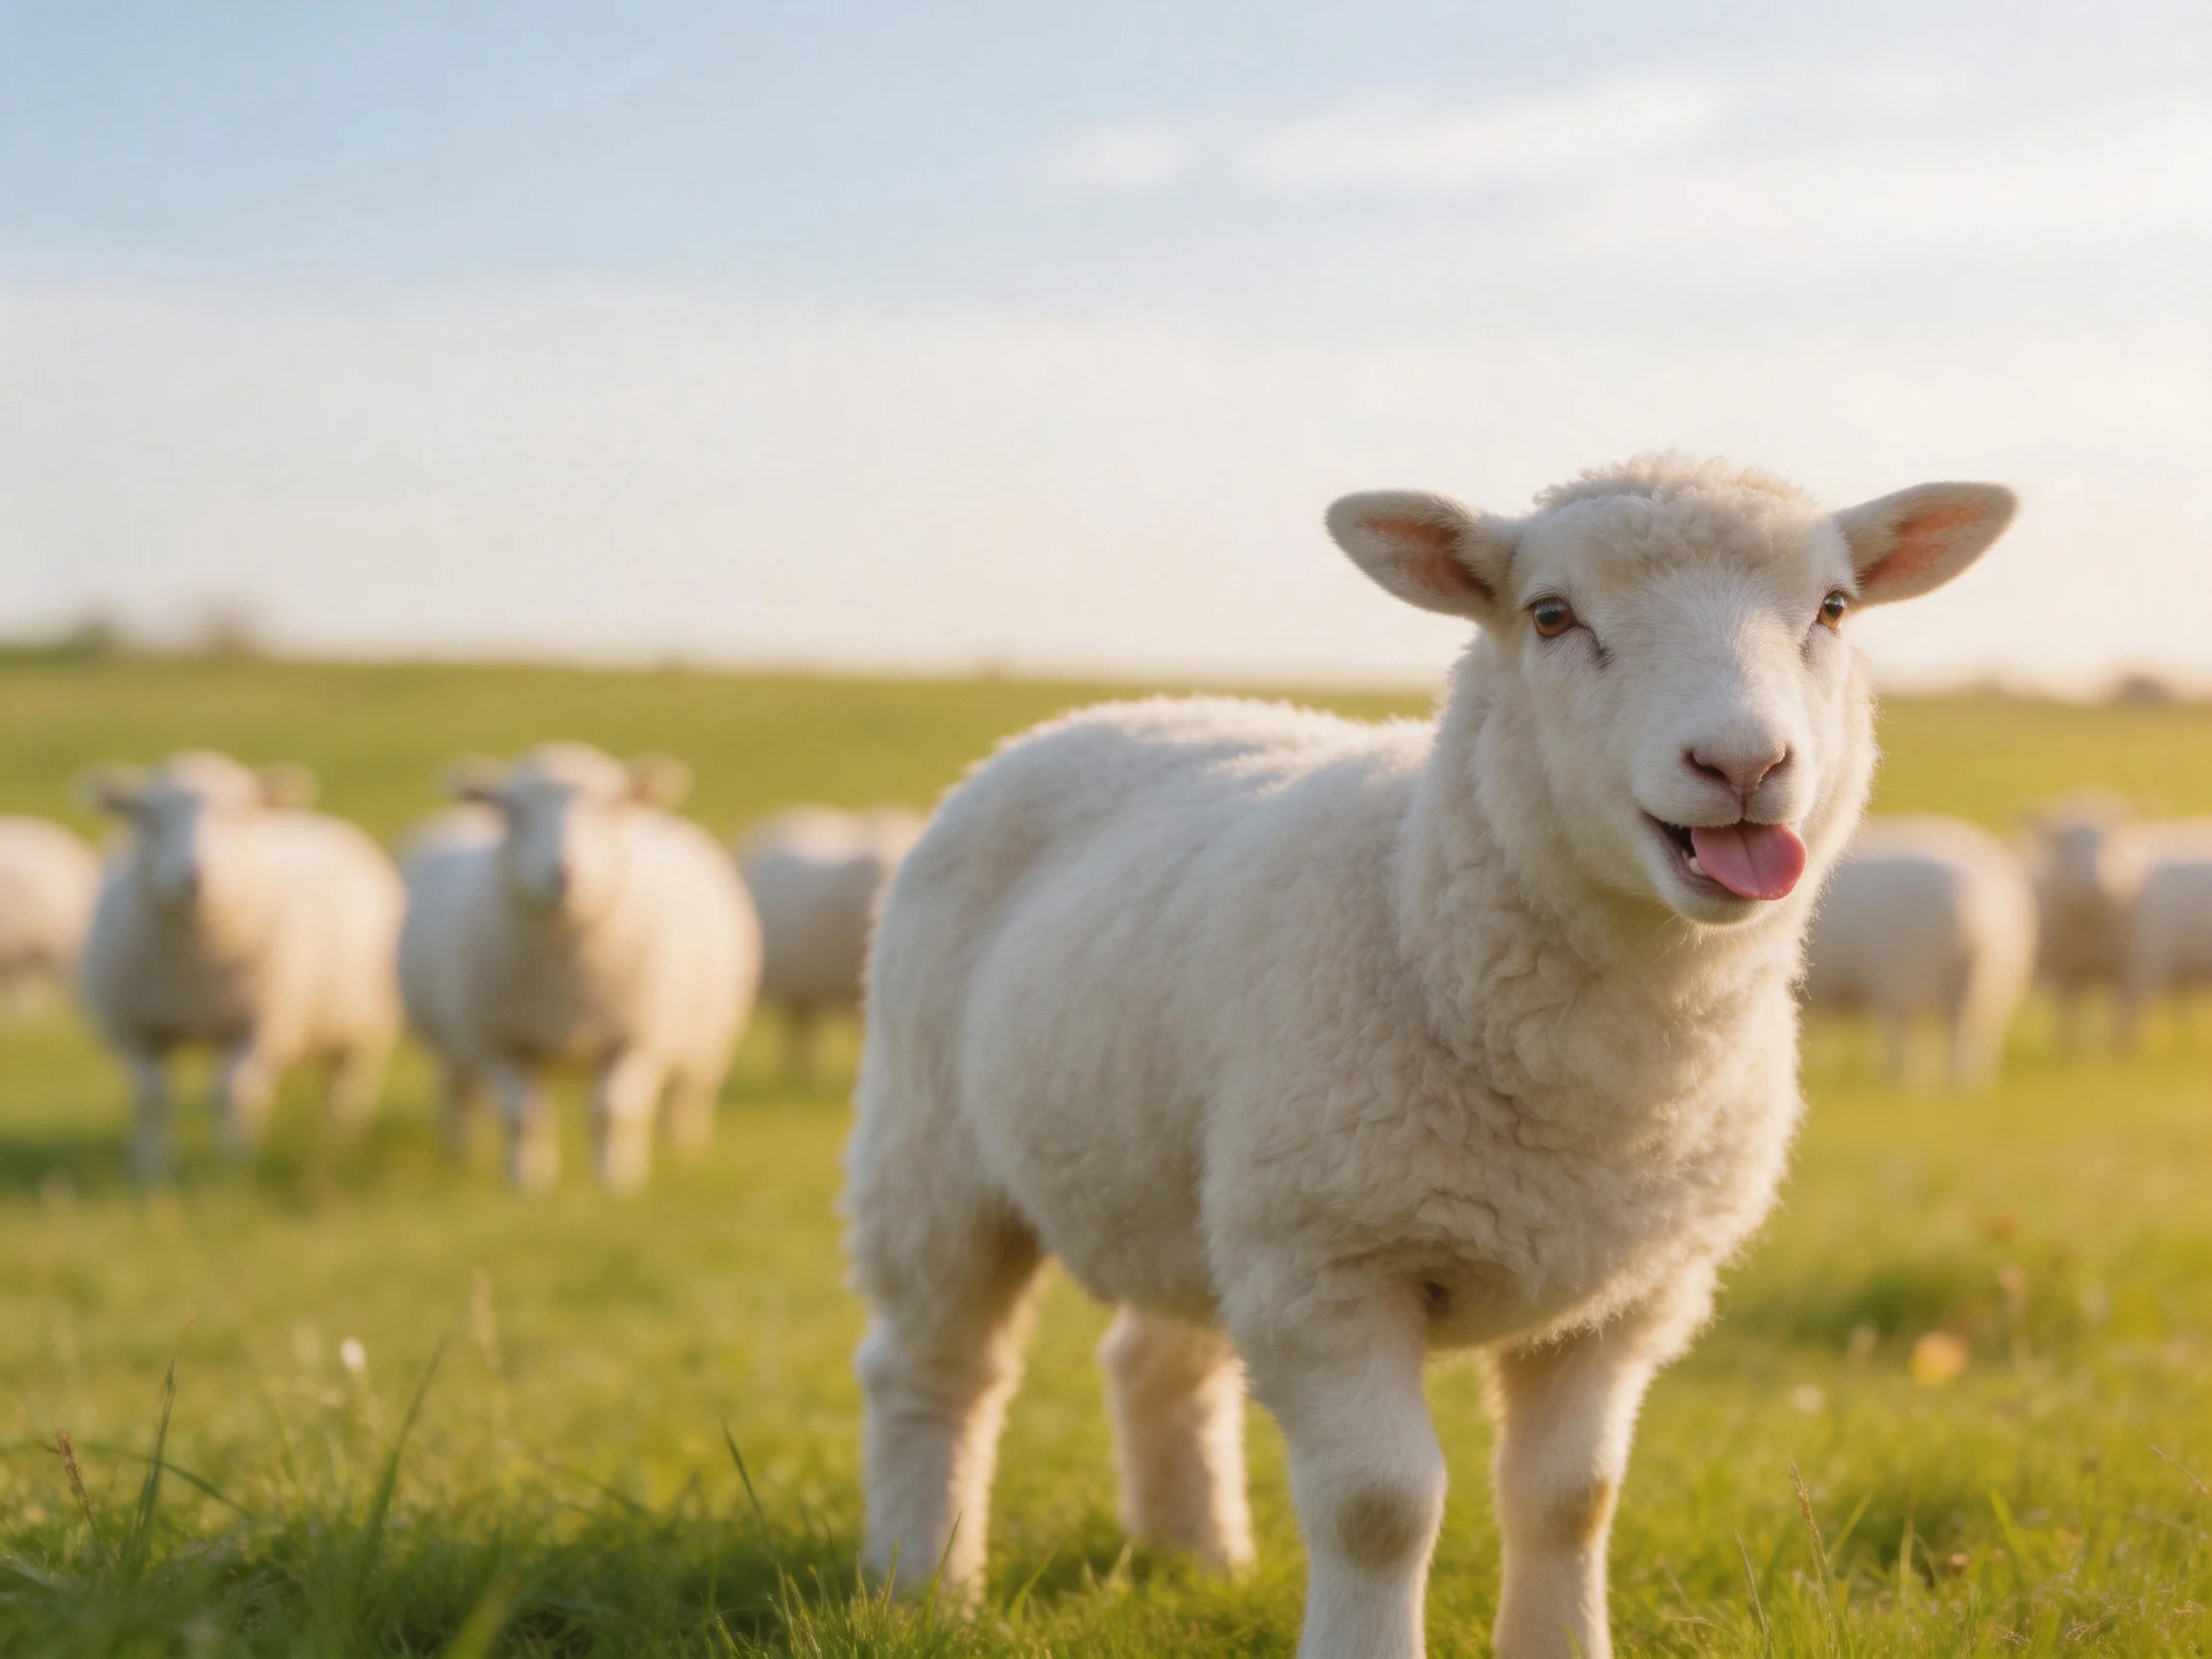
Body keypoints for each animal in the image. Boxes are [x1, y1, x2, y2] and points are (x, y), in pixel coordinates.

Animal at [77, 752, 404, 1181]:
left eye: (238, 815)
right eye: (150, 818)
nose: (194, 877)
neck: (192, 966)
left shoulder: (260, 1024)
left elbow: (230, 1093)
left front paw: (232, 1166)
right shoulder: (132, 1028)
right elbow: (152, 1098)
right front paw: (149, 1170)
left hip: (361, 1031)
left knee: (345, 1087)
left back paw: (339, 1141)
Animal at [398, 743, 761, 1193]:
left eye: (608, 807)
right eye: (514, 811)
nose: (564, 873)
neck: (565, 979)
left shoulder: (639, 1037)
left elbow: (612, 1110)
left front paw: (615, 1180)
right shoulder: (498, 1041)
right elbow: (523, 1116)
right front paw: (527, 1183)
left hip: (706, 1037)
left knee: (687, 1092)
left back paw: (683, 1148)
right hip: (454, 1042)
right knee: (460, 1094)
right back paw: (464, 1155)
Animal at [1801, 816, 2037, 1087]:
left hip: (1905, 980)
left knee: (1912, 1034)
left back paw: (1903, 1077)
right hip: (1985, 986)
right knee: (1974, 1036)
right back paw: (1966, 1079)